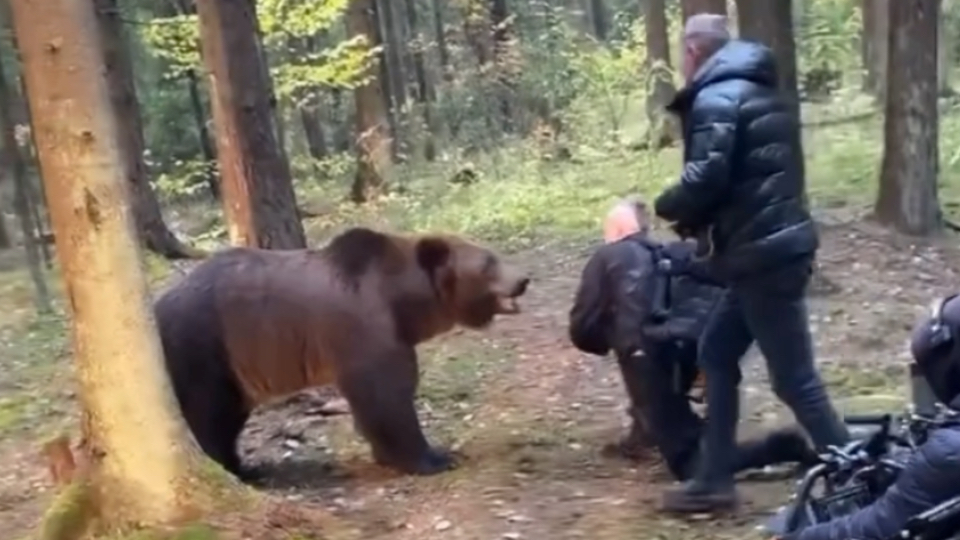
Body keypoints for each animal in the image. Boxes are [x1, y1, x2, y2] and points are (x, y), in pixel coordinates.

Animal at [158, 226, 532, 478]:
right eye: (488, 262)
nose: (524, 279)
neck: (402, 302)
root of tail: (158, 303)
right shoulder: (366, 329)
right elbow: (386, 399)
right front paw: (435, 457)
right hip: (207, 345)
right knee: (209, 413)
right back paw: (230, 466)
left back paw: (243, 465)